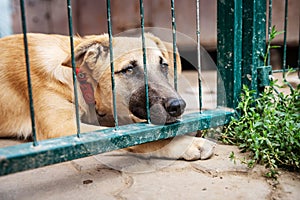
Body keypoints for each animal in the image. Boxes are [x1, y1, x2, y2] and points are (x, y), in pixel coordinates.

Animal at [0, 33, 216, 160]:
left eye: (163, 65)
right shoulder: (61, 129)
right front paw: (186, 143)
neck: (80, 79)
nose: (178, 106)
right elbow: (138, 137)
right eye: (128, 69)